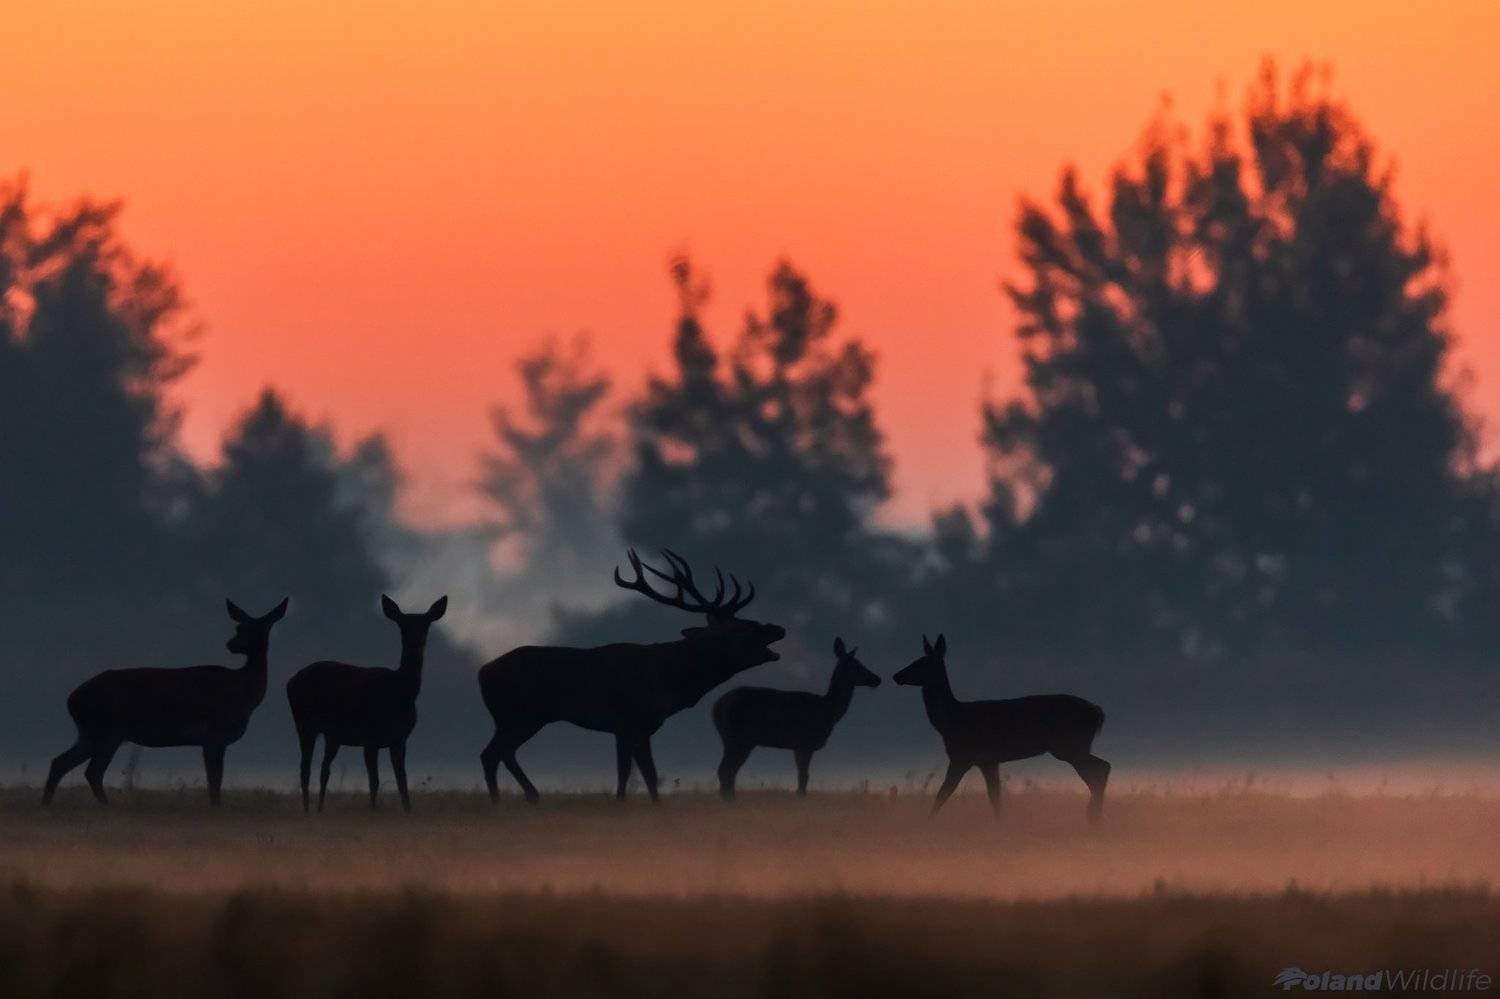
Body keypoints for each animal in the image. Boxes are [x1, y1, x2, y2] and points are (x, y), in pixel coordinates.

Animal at [40, 598, 289, 807]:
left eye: (256, 629)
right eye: (238, 628)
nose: (231, 644)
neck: (243, 693)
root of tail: (72, 699)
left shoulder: (212, 740)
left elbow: (214, 780)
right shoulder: (213, 736)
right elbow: (215, 780)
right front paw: (215, 809)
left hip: (90, 733)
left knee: (60, 763)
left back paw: (48, 805)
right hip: (107, 731)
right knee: (92, 771)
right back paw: (106, 807)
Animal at [285, 594, 447, 813]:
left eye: (426, 624)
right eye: (403, 626)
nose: (415, 641)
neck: (401, 694)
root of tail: (290, 682)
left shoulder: (399, 739)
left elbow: (402, 781)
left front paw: (408, 811)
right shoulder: (370, 737)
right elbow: (374, 780)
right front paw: (372, 811)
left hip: (332, 735)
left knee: (324, 769)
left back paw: (319, 809)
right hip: (305, 724)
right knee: (305, 769)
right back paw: (307, 810)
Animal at [478, 549, 785, 804]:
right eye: (744, 629)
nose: (778, 628)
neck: (670, 681)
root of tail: (483, 673)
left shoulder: (623, 727)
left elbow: (624, 770)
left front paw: (621, 802)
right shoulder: (635, 719)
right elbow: (648, 771)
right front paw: (656, 805)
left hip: (517, 718)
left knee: (497, 752)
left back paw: (518, 798)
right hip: (520, 715)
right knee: (494, 753)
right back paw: (512, 799)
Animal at [712, 636, 880, 799]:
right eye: (857, 665)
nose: (877, 679)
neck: (830, 711)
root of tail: (717, 706)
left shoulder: (797, 746)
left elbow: (801, 777)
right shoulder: (805, 743)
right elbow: (804, 777)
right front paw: (801, 799)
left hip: (729, 738)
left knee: (726, 770)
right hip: (740, 738)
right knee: (727, 770)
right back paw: (730, 800)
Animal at [893, 634, 1110, 822]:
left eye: (921, 663)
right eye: (915, 660)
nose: (897, 675)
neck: (950, 721)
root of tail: (1098, 712)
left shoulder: (961, 757)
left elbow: (943, 793)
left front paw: (926, 823)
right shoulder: (988, 761)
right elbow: (994, 796)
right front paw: (1000, 826)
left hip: (1070, 746)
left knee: (1100, 769)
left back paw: (1093, 817)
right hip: (1074, 747)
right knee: (1100, 769)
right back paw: (1095, 817)